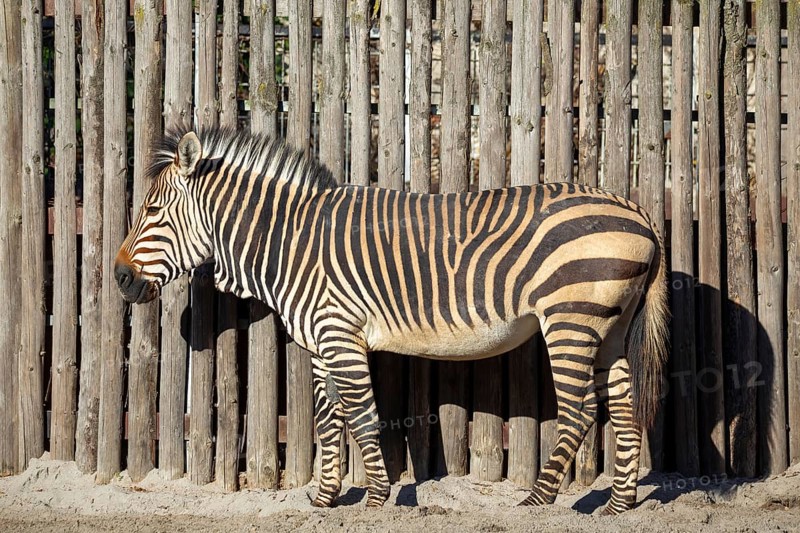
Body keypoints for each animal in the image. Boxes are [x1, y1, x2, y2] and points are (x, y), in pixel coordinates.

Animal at [115, 127, 669, 515]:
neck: (292, 243)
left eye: (153, 210)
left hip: (570, 321)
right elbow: (329, 420)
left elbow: (361, 415)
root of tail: (639, 212)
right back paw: (618, 504)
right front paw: (325, 499)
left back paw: (538, 500)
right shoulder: (323, 342)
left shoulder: (341, 335)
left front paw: (378, 497)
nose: (119, 277)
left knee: (579, 412)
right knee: (624, 407)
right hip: (610, 328)